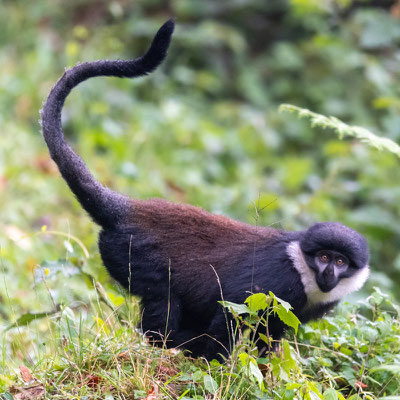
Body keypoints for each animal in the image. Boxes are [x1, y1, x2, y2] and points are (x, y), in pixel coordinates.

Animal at [39, 20, 370, 360]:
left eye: (341, 262)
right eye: (324, 257)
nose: (329, 274)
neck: (302, 265)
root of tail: (128, 209)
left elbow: (269, 335)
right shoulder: (277, 283)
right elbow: (232, 309)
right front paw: (216, 361)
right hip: (134, 256)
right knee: (162, 304)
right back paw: (179, 343)